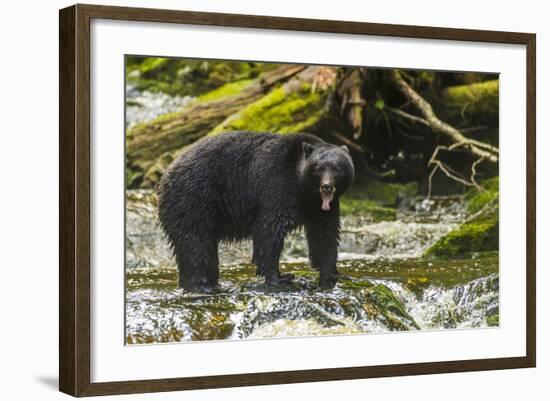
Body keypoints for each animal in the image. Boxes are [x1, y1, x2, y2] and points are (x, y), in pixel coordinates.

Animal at [158, 131, 358, 290]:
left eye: (337, 168)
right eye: (319, 168)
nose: (327, 186)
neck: (304, 190)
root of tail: (166, 174)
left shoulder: (322, 208)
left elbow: (325, 234)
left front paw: (334, 273)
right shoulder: (277, 185)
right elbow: (270, 229)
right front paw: (279, 277)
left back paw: (211, 283)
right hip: (193, 199)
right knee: (194, 241)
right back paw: (199, 285)